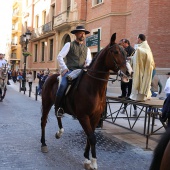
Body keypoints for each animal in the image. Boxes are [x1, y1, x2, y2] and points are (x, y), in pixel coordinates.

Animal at [40, 32, 132, 169]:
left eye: (126, 52)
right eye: (115, 52)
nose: (129, 72)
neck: (93, 87)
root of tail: (49, 77)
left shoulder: (95, 117)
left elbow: (90, 136)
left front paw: (86, 159)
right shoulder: (83, 116)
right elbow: (92, 137)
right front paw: (93, 162)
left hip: (57, 105)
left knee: (58, 113)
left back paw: (59, 132)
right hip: (46, 103)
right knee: (43, 121)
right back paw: (43, 144)